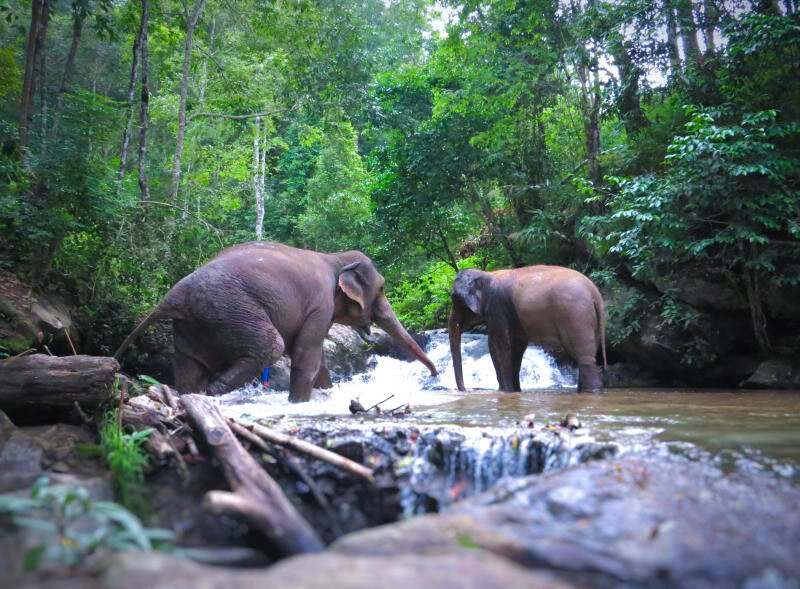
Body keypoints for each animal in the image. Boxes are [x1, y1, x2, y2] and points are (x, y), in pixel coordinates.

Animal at [115, 241, 437, 402]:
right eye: (381, 289)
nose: (435, 375)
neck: (334, 257)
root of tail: (173, 295)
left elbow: (316, 358)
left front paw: (325, 394)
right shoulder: (320, 304)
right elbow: (307, 355)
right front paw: (300, 403)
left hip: (194, 324)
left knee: (191, 368)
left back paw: (196, 398)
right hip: (230, 309)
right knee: (270, 346)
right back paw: (214, 391)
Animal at [448, 266, 607, 393]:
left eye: (455, 299)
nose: (465, 390)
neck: (487, 274)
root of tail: (594, 292)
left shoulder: (497, 307)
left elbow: (499, 345)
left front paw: (506, 392)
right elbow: (516, 347)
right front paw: (514, 391)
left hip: (575, 316)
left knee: (584, 357)